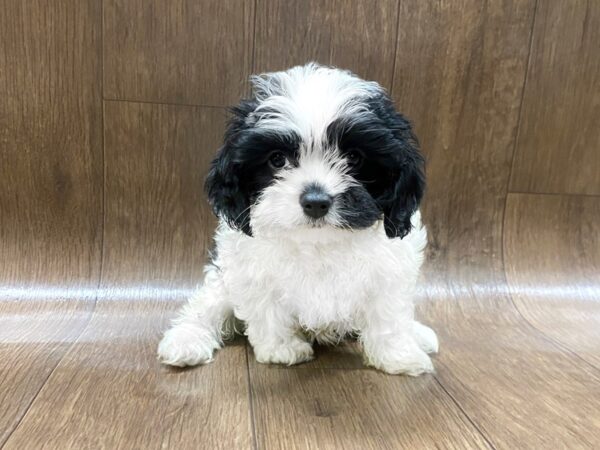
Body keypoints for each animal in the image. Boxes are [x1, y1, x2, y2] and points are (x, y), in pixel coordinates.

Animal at [157, 61, 438, 374]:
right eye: (277, 160)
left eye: (354, 158)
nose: (316, 202)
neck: (318, 242)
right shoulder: (251, 271)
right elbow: (267, 310)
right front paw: (282, 349)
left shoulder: (390, 270)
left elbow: (388, 315)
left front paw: (398, 355)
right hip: (221, 280)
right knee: (206, 306)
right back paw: (186, 339)